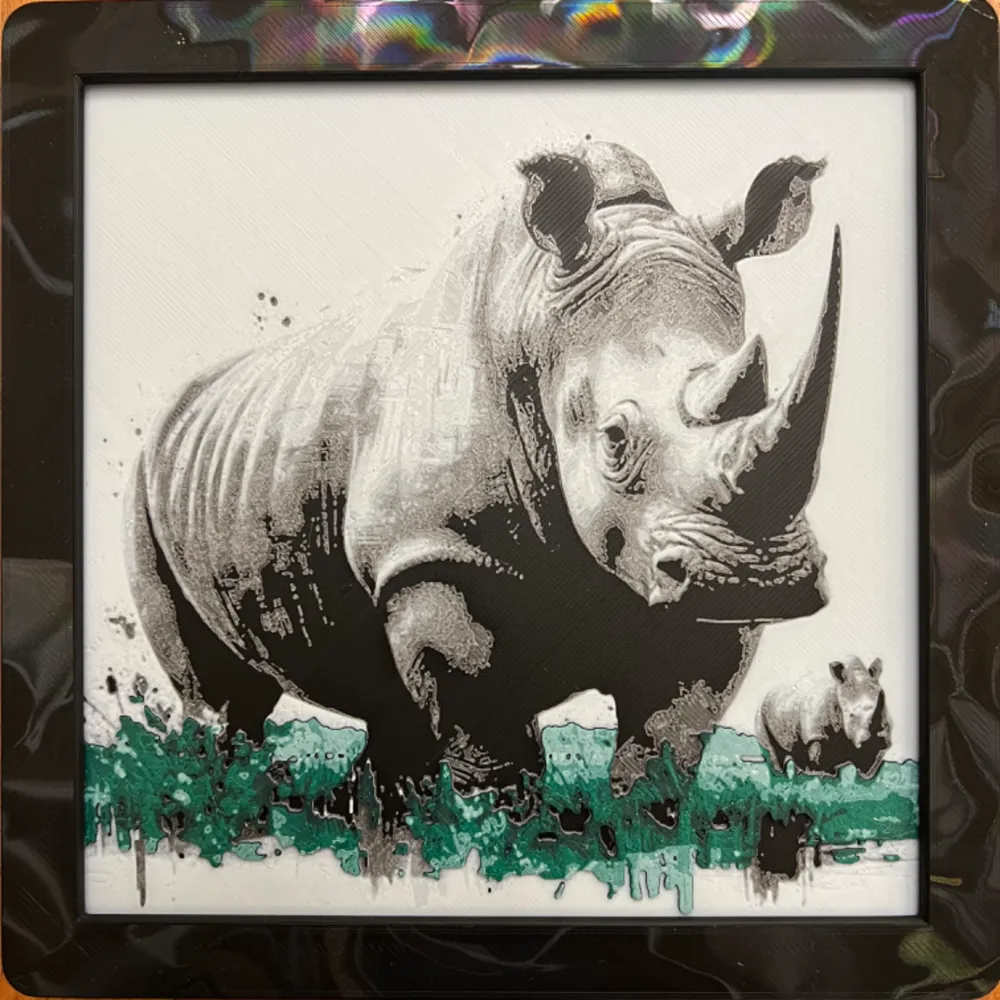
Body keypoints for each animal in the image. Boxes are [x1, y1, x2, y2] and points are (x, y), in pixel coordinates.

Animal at [126, 140, 842, 822]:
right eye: (614, 438)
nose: (758, 577)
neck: (536, 322)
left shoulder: (683, 580)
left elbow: (665, 745)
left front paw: (646, 836)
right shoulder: (435, 553)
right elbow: (492, 743)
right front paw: (502, 839)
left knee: (384, 699)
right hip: (145, 485)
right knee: (223, 698)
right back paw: (221, 815)